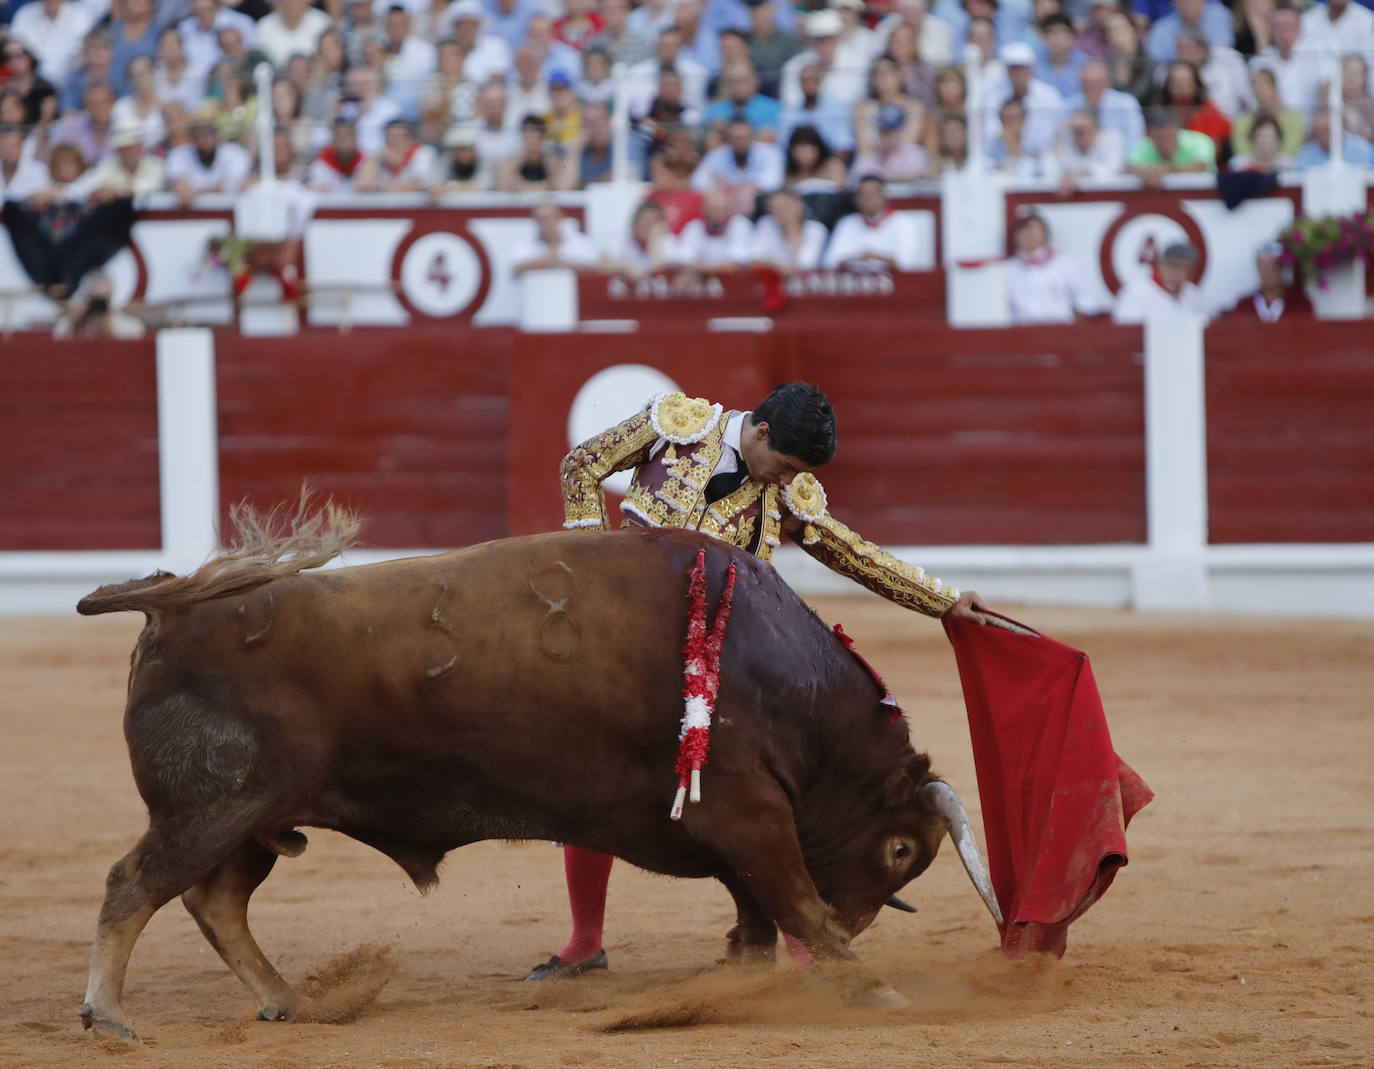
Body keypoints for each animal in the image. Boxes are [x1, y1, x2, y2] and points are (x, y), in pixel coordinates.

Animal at [75, 502, 1000, 1038]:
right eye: (900, 851)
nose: (860, 923)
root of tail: (172, 607)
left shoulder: (730, 823)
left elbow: (756, 916)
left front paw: (745, 980)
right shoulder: (747, 810)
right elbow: (792, 900)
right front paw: (871, 986)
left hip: (254, 818)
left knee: (214, 899)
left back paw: (287, 1000)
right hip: (213, 808)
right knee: (134, 883)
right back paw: (111, 1014)